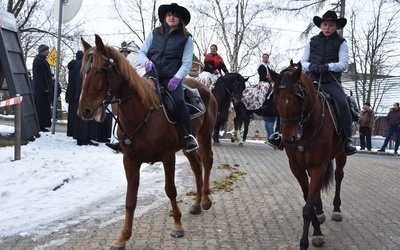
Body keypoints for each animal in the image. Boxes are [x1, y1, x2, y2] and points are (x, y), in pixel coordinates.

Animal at [76, 34, 217, 248]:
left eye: (100, 70)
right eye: (83, 71)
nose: (84, 111)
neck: (142, 113)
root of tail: (205, 88)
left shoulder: (168, 157)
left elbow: (170, 190)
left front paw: (177, 225)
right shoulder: (130, 161)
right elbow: (130, 199)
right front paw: (123, 237)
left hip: (205, 135)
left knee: (207, 162)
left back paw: (206, 200)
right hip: (187, 146)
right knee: (196, 167)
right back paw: (197, 203)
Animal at [268, 61, 346, 250]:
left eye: (298, 98)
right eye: (275, 99)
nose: (288, 138)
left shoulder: (319, 166)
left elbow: (308, 207)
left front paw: (308, 239)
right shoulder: (297, 168)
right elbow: (307, 197)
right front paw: (317, 228)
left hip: (341, 155)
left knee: (338, 176)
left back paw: (336, 210)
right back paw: (321, 212)